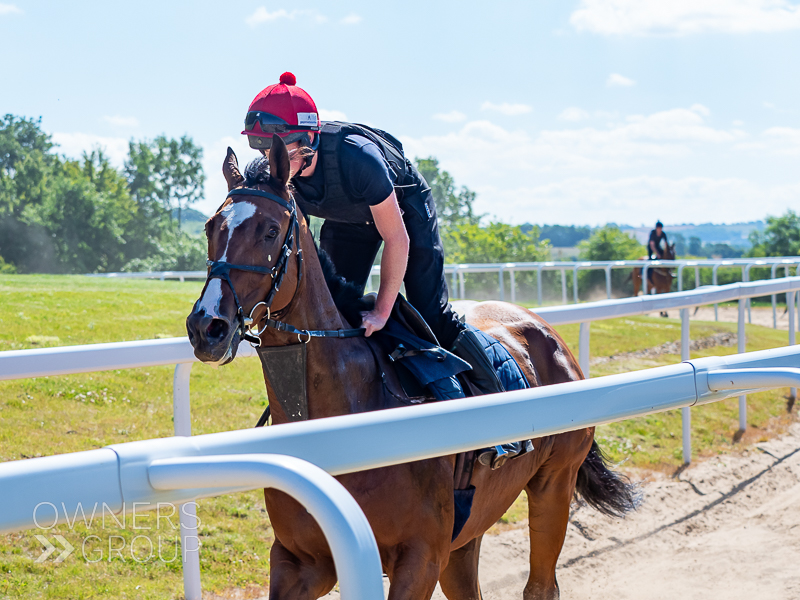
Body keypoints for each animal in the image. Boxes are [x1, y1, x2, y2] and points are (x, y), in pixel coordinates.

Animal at [186, 137, 636, 600]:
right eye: (211, 227)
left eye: (271, 231)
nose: (208, 326)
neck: (348, 414)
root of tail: (550, 334)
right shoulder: (301, 560)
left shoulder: (420, 558)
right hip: (468, 533)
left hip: (554, 483)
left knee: (542, 584)